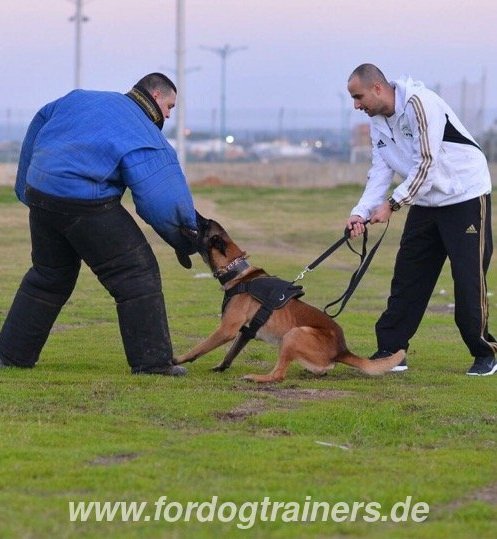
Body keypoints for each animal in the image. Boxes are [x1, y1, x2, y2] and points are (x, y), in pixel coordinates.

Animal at [173, 216, 404, 384]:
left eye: (203, 225)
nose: (189, 216)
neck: (238, 274)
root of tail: (342, 350)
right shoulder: (245, 332)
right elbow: (231, 353)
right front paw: (221, 368)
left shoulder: (226, 329)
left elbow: (200, 347)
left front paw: (176, 360)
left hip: (293, 334)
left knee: (278, 375)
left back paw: (255, 377)